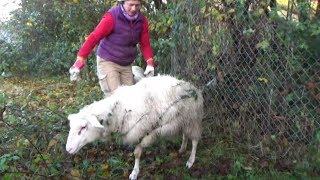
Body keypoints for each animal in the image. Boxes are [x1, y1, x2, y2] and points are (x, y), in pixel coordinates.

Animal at [66, 74, 204, 179]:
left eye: (83, 127)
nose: (68, 149)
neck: (120, 109)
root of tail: (191, 86)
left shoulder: (141, 131)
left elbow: (137, 154)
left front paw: (134, 172)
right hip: (184, 120)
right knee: (185, 135)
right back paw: (182, 149)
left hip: (193, 118)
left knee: (195, 141)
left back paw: (190, 161)